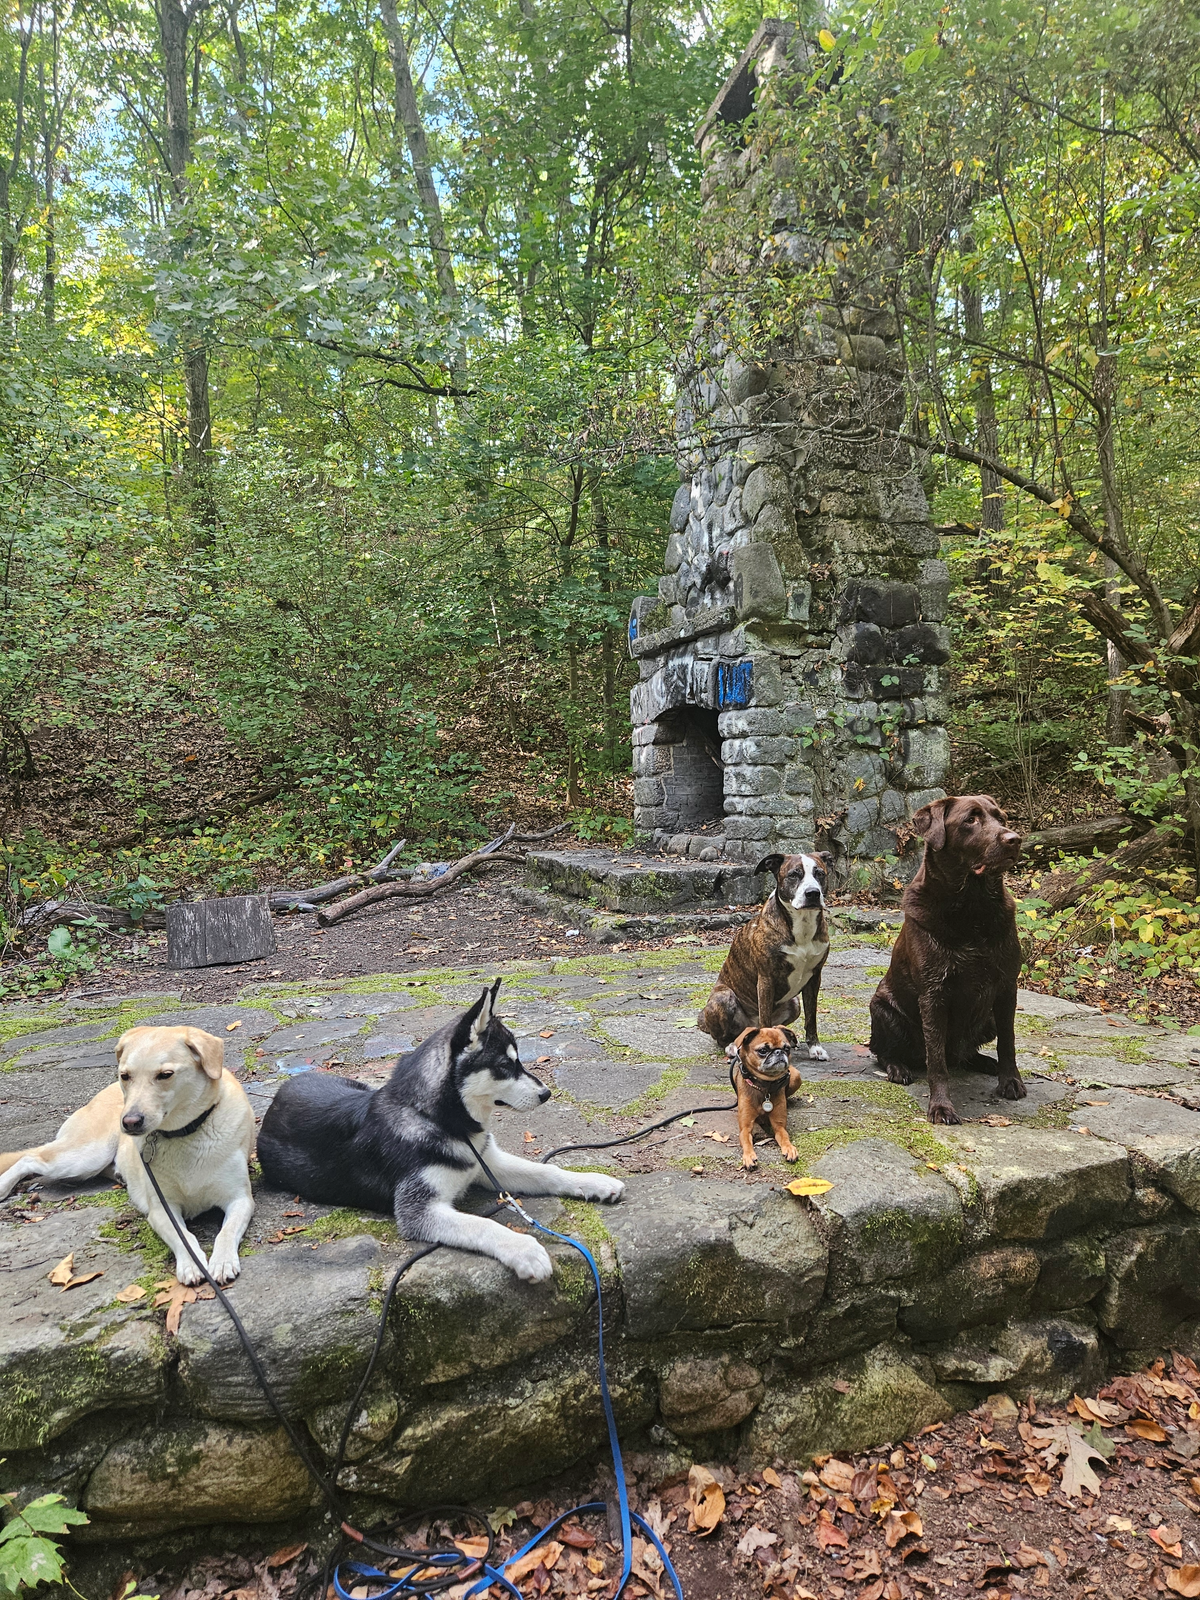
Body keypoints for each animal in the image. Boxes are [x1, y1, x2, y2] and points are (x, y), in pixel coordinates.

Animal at [0, 1026, 255, 1284]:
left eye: (165, 1074)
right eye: (125, 1076)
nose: (130, 1122)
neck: (183, 1134)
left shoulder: (239, 1199)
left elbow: (226, 1232)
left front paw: (222, 1261)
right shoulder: (161, 1209)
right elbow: (184, 1237)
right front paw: (193, 1264)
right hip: (84, 1156)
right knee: (30, 1158)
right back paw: (3, 1187)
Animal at [256, 979, 624, 1282]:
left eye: (518, 1061)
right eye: (505, 1066)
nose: (546, 1094)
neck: (443, 1121)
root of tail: (280, 1095)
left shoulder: (486, 1162)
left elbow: (547, 1171)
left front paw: (595, 1182)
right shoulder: (419, 1210)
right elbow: (484, 1224)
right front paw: (524, 1249)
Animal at [699, 852, 831, 1058]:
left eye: (820, 874)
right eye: (794, 875)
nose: (813, 893)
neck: (802, 926)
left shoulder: (814, 978)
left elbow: (811, 1017)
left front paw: (815, 1047)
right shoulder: (766, 979)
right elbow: (766, 1018)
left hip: (794, 1003)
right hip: (723, 997)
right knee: (723, 1037)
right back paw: (731, 1046)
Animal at [726, 1025, 804, 1170]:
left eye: (787, 1048)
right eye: (763, 1050)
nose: (779, 1052)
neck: (764, 1087)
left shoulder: (779, 1127)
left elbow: (784, 1137)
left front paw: (789, 1148)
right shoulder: (745, 1128)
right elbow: (747, 1142)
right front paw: (748, 1155)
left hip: (796, 1076)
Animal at [868, 794, 1025, 1125]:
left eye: (1000, 817)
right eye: (970, 820)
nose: (1014, 839)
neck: (972, 908)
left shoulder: (1007, 988)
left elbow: (1008, 1041)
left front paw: (1010, 1081)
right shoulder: (933, 994)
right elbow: (936, 1061)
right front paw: (941, 1106)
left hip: (987, 1018)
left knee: (964, 1054)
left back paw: (985, 1062)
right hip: (883, 1010)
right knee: (886, 1052)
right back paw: (898, 1068)